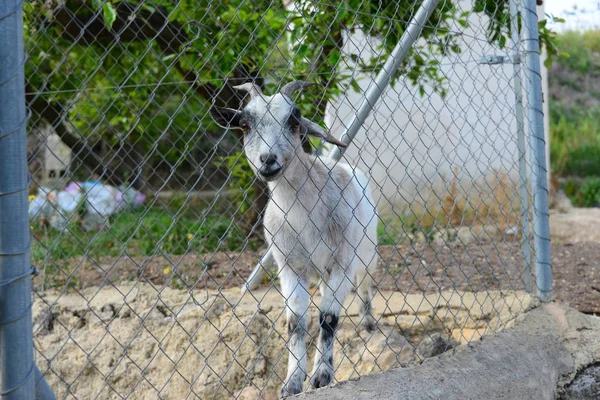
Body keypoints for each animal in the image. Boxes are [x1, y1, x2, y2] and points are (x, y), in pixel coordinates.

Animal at [209, 80, 378, 396]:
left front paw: (322, 376)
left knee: (365, 283)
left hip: (366, 250)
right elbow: (296, 323)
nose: (268, 160)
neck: (304, 213)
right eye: (244, 124)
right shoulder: (289, 267)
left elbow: (329, 318)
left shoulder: (341, 262)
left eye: (293, 120)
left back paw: (369, 321)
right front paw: (292, 383)